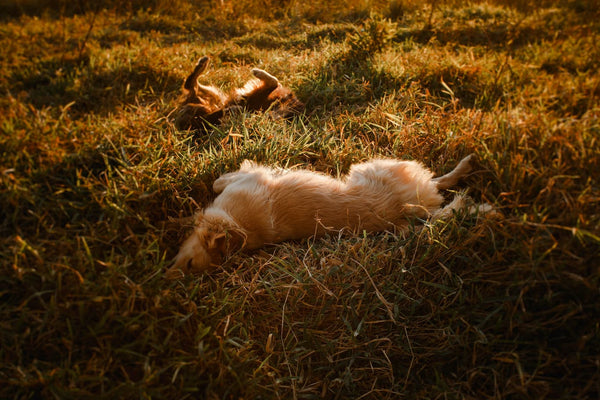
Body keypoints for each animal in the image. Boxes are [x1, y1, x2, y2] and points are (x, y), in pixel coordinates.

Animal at [165, 153, 492, 278]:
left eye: (189, 263)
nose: (166, 279)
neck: (240, 229)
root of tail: (404, 212)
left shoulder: (249, 178)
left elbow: (218, 181)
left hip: (373, 166)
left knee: (439, 183)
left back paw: (464, 169)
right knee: (439, 187)